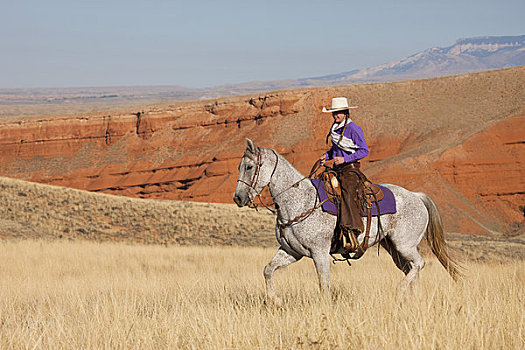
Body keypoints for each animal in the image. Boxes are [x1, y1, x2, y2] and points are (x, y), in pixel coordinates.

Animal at [233, 139, 458, 300]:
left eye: (250, 167)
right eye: (239, 167)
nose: (238, 198)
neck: (300, 201)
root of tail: (417, 196)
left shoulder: (320, 253)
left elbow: (324, 285)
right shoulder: (291, 251)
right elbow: (268, 270)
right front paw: (275, 300)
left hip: (405, 245)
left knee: (418, 264)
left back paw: (399, 291)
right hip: (393, 248)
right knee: (411, 269)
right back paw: (412, 299)